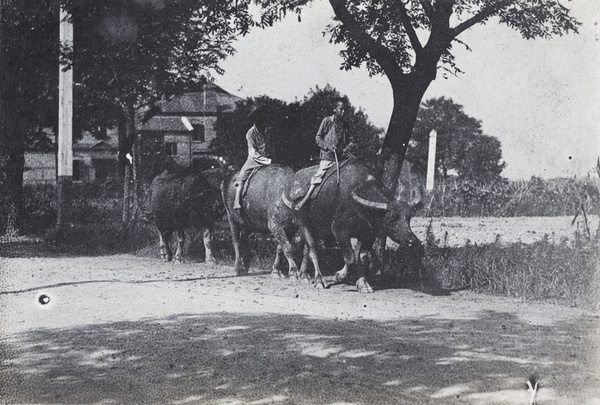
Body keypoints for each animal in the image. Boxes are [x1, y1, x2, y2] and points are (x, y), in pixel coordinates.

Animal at [284, 159, 422, 294]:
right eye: (391, 219)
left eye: (408, 218)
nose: (412, 241)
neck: (363, 209)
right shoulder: (339, 231)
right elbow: (350, 258)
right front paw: (338, 276)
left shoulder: (368, 234)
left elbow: (362, 257)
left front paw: (363, 284)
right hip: (303, 223)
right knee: (313, 249)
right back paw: (319, 280)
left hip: (318, 228)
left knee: (306, 250)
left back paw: (304, 276)